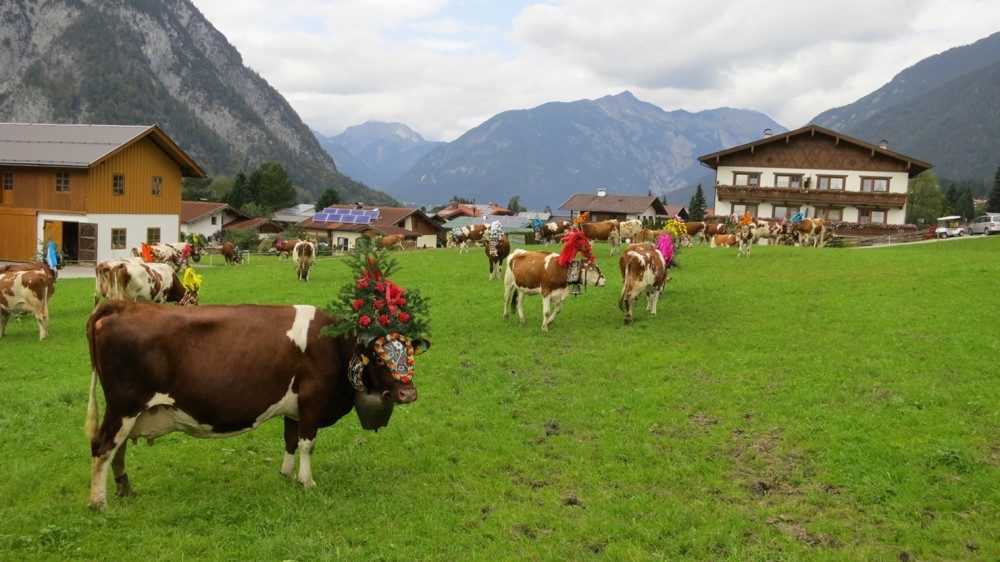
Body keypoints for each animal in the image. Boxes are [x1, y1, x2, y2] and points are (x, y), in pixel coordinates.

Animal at [84, 301, 429, 510]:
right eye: (380, 358)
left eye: (410, 353)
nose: (408, 394)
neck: (332, 342)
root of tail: (123, 305)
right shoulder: (313, 399)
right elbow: (307, 443)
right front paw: (307, 481)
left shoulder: (294, 406)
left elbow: (290, 440)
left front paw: (287, 475)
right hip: (124, 405)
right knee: (102, 447)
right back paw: (100, 503)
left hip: (129, 411)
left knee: (117, 450)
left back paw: (125, 491)